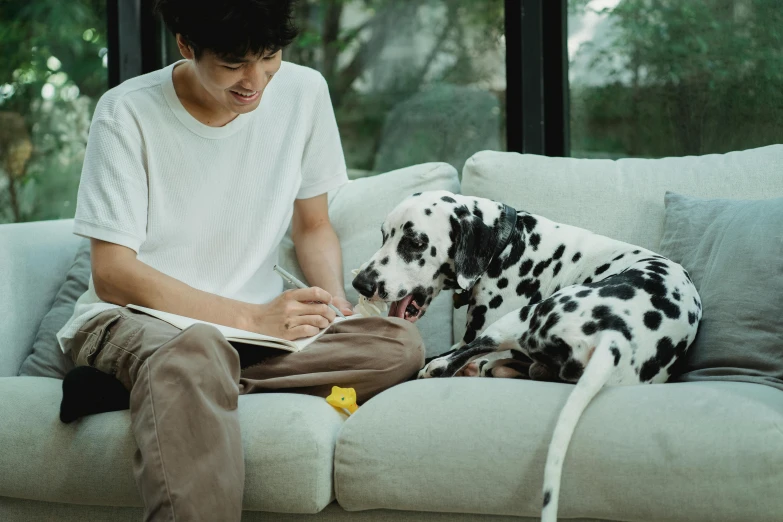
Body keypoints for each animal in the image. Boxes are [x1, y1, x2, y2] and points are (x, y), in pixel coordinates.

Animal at [352, 190, 700, 520]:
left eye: (415, 243)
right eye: (384, 235)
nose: (360, 283)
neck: (508, 243)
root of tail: (616, 335)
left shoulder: (473, 335)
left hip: (517, 318)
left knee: (448, 364)